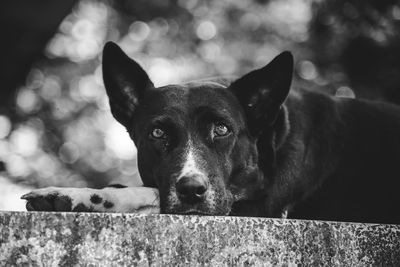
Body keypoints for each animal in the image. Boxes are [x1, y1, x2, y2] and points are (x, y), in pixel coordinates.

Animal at [22, 42, 400, 224]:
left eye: (222, 129)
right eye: (157, 133)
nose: (192, 190)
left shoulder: (257, 207)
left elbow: (149, 194)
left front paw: (74, 195)